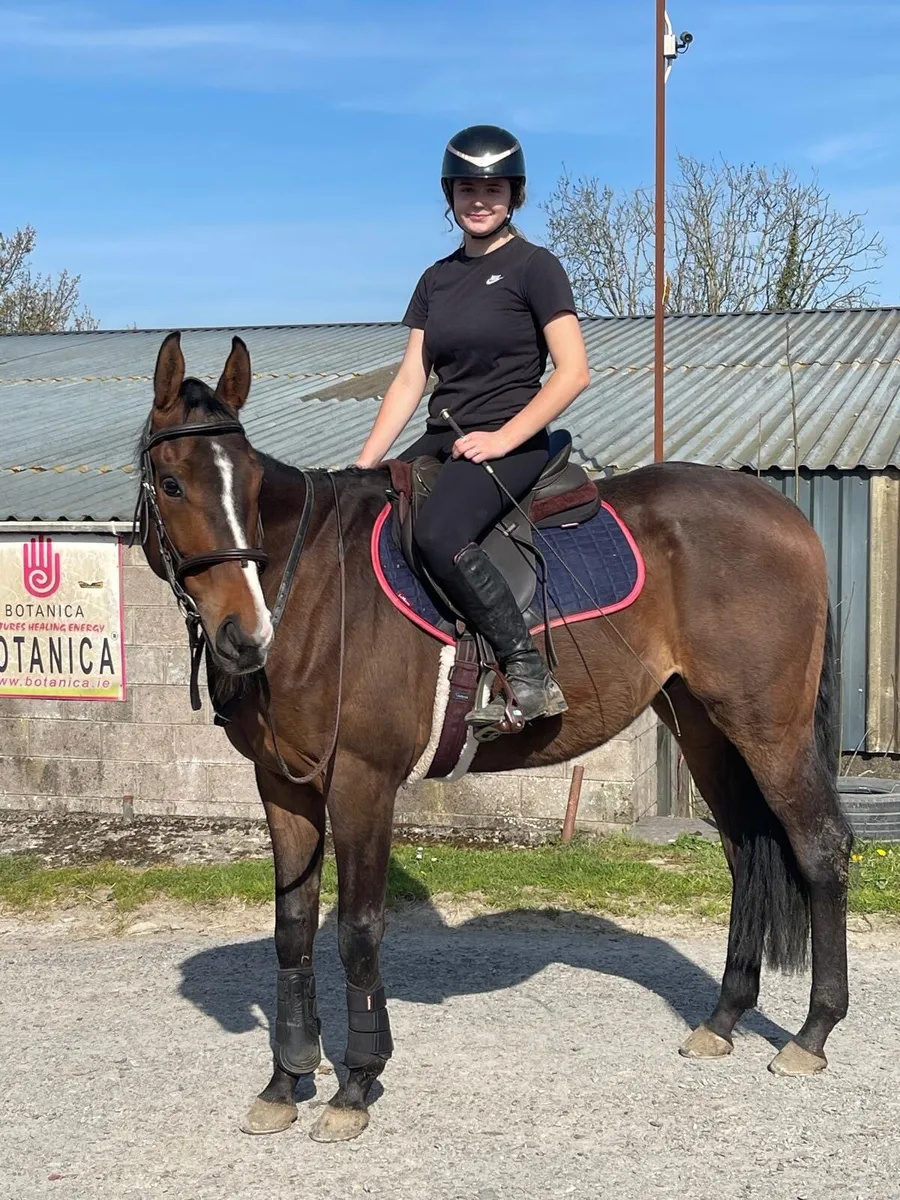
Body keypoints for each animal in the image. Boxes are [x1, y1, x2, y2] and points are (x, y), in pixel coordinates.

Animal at [137, 331, 851, 1143]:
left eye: (252, 487)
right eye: (171, 483)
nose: (244, 634)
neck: (313, 590)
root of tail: (785, 514)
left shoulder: (361, 782)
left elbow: (357, 929)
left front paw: (356, 1083)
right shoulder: (283, 786)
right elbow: (293, 929)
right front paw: (285, 1080)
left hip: (769, 727)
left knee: (819, 846)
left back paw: (812, 1033)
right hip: (701, 723)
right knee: (743, 851)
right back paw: (725, 1017)